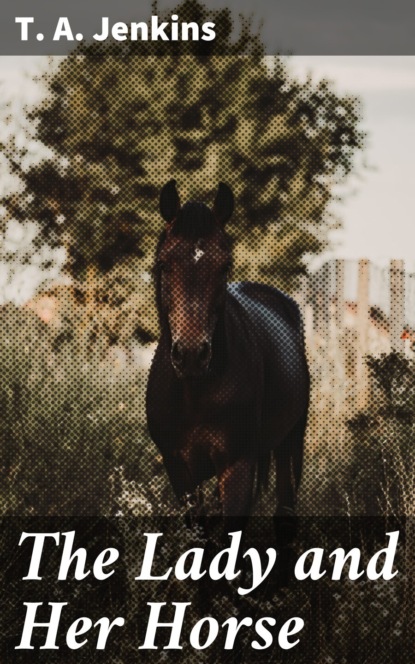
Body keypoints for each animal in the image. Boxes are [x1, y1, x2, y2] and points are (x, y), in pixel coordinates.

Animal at [146, 180, 310, 542]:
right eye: (163, 265)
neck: (195, 391)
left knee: (286, 514)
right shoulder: (179, 468)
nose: (191, 355)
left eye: (224, 267)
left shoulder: (237, 465)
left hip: (290, 443)